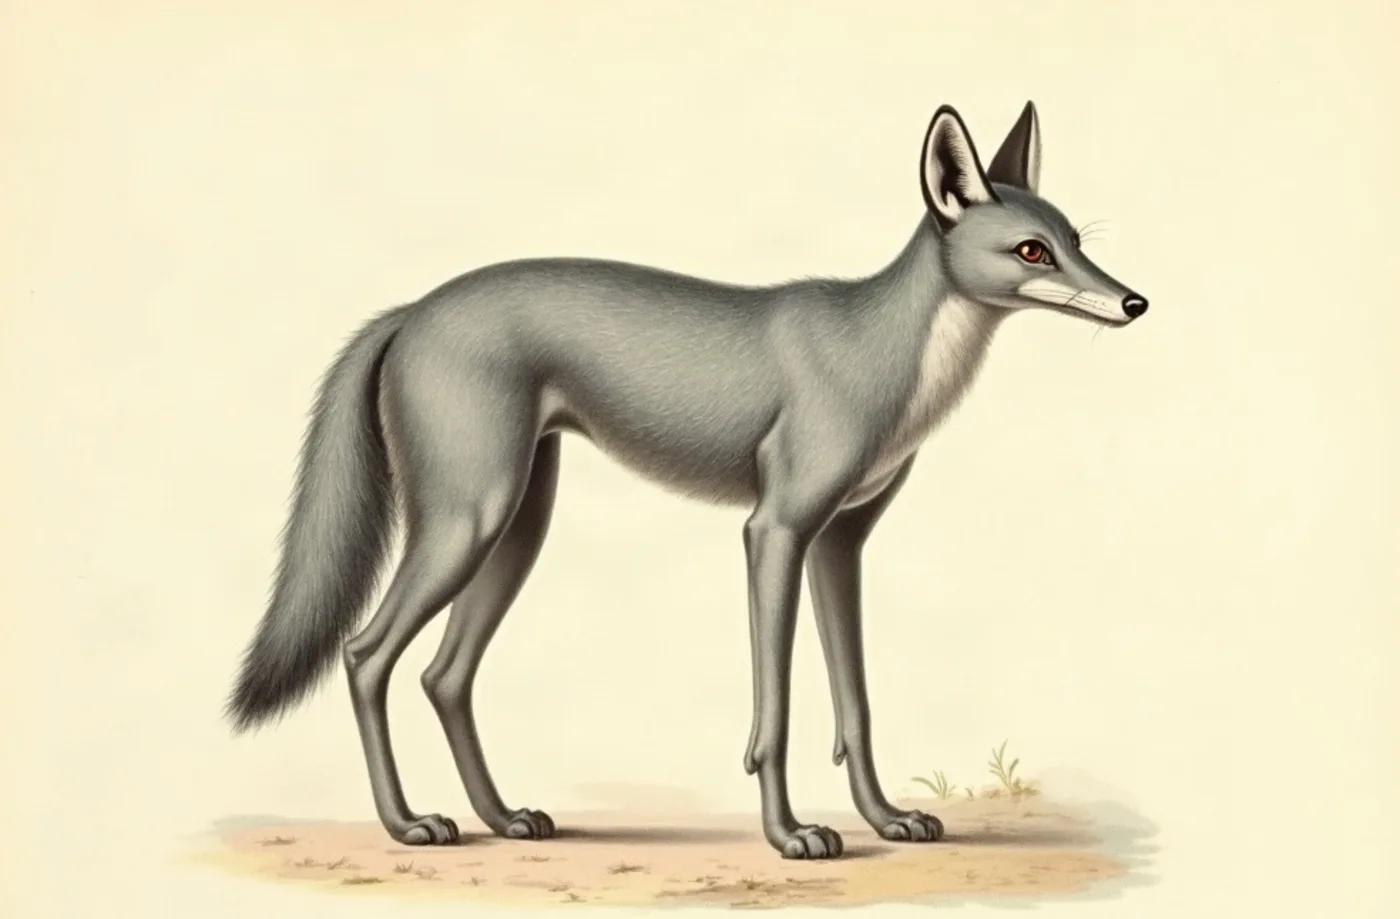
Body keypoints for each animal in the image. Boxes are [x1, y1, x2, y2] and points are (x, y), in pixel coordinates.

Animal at [226, 101, 1148, 860]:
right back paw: (408, 823)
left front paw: (887, 820)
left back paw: (502, 817)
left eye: (1077, 242)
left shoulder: (839, 542)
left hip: (516, 526)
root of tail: (409, 310)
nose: (1135, 302)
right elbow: (776, 710)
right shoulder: (773, 531)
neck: (882, 353)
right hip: (468, 521)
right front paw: (791, 835)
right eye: (1031, 250)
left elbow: (854, 705)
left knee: (443, 674)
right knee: (364, 654)